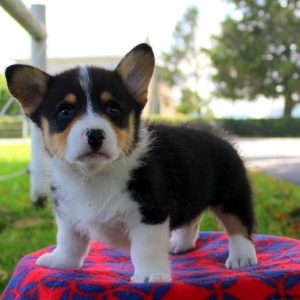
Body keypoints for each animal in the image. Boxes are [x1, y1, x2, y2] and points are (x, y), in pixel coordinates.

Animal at [5, 43, 258, 282]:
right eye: (65, 110)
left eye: (113, 108)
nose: (95, 135)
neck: (94, 175)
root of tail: (220, 137)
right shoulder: (67, 214)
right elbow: (69, 240)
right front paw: (61, 261)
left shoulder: (150, 215)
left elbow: (146, 249)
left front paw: (150, 275)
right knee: (192, 218)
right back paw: (180, 243)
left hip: (232, 193)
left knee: (238, 223)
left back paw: (241, 256)